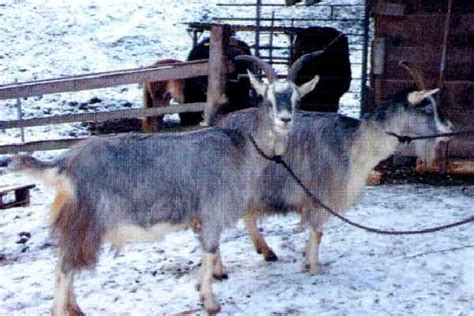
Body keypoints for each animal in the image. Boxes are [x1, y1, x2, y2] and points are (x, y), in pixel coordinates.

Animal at [1, 55, 320, 314]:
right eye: (267, 98)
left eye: (296, 99)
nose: (285, 119)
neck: (240, 146)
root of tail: (64, 163)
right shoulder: (213, 211)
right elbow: (209, 251)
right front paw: (210, 302)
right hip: (84, 222)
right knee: (63, 269)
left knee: (65, 266)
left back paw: (75, 308)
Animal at [217, 62, 454, 274]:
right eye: (427, 107)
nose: (450, 130)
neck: (357, 142)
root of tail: (219, 123)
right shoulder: (321, 195)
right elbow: (317, 231)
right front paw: (314, 267)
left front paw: (306, 259)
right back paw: (221, 270)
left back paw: (266, 252)